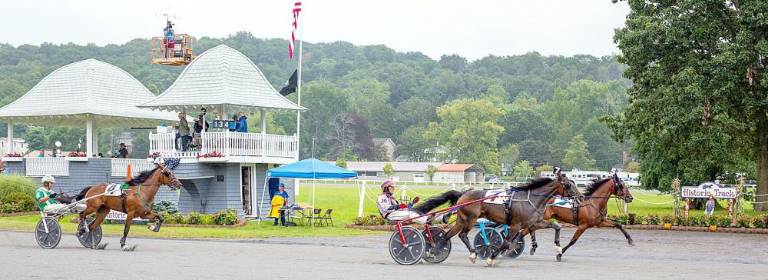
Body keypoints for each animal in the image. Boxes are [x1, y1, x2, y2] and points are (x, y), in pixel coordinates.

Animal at [440, 172, 580, 266]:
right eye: (568, 184)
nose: (581, 197)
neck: (531, 199)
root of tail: (463, 193)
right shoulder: (516, 225)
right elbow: (506, 242)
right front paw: (491, 258)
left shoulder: (535, 222)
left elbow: (557, 226)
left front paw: (559, 248)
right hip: (471, 219)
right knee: (462, 235)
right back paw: (473, 254)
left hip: (461, 220)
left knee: (449, 235)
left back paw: (439, 249)